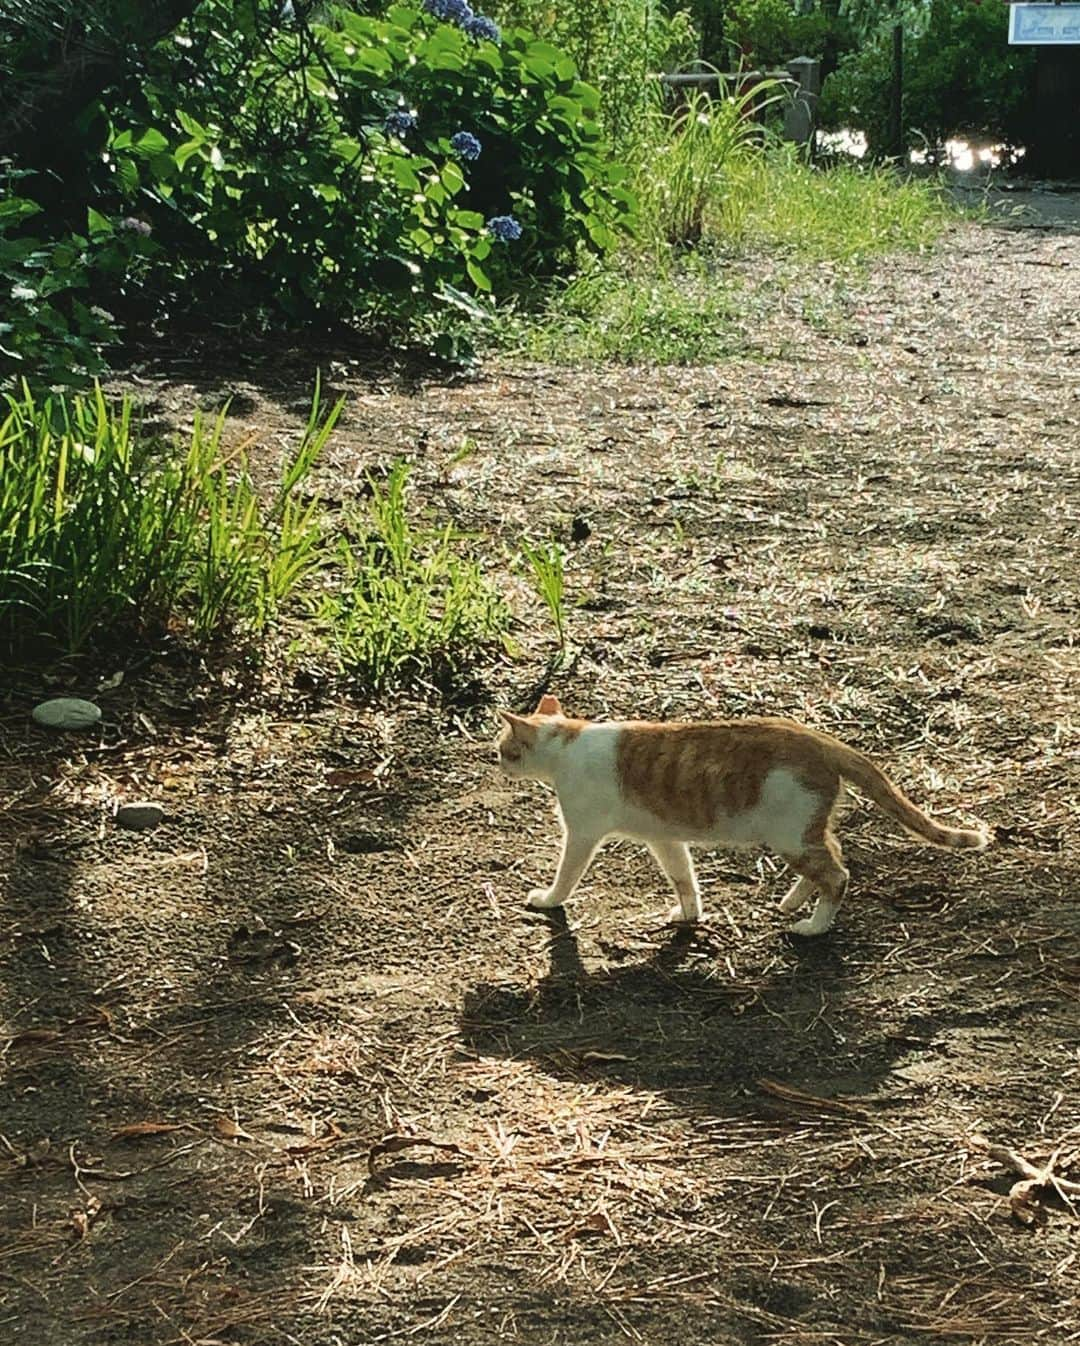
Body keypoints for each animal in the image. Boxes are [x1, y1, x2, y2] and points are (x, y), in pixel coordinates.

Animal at [495, 694, 985, 936]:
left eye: (505, 750)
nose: (492, 759)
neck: (567, 743)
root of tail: (818, 738)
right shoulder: (665, 838)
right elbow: (684, 879)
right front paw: (689, 915)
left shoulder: (581, 835)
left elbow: (566, 876)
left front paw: (548, 899)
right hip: (803, 832)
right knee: (834, 853)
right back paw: (791, 902)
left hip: (790, 835)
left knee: (838, 875)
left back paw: (813, 927)